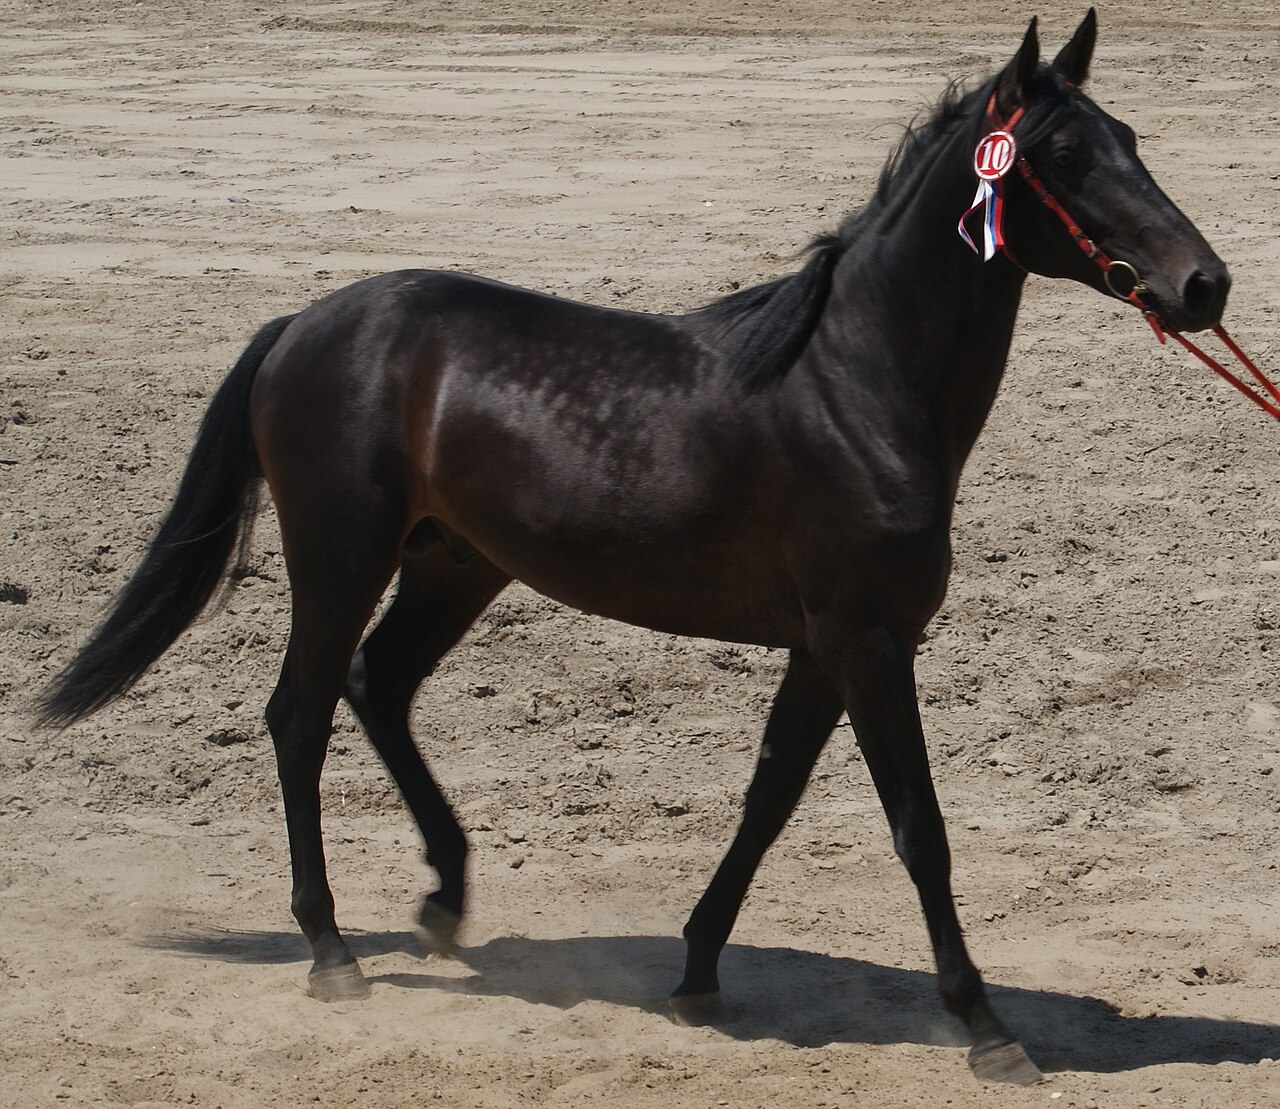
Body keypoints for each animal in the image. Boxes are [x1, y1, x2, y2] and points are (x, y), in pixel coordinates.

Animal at [38, 11, 1231, 1085]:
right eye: (1064, 156)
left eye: (1130, 136)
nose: (1204, 284)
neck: (851, 385)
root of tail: (301, 323)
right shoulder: (869, 641)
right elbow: (917, 827)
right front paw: (985, 1026)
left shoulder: (821, 648)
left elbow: (767, 800)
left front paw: (698, 972)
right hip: (341, 557)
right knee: (300, 713)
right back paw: (333, 951)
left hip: (453, 564)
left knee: (379, 686)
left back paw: (443, 899)